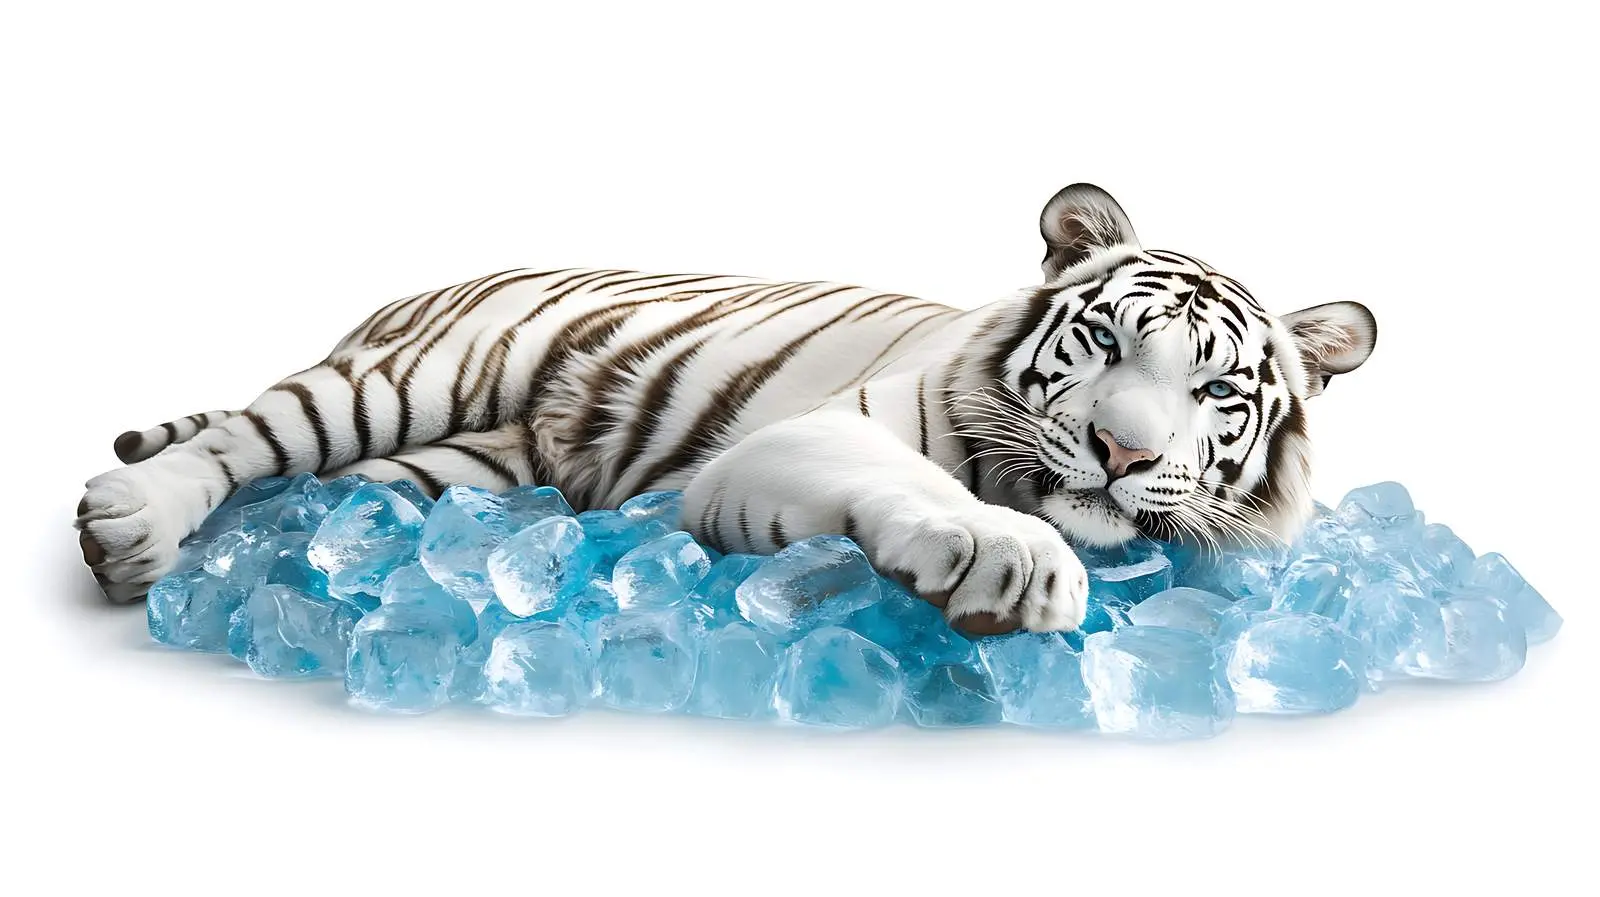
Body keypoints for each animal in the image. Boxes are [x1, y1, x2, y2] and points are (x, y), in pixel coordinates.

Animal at [75, 184, 1377, 634]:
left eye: (1216, 390)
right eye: (1105, 342)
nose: (1118, 450)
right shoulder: (806, 436)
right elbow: (922, 488)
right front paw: (1004, 558)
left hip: (446, 469)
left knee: (316, 496)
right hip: (406, 377)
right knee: (243, 439)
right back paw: (128, 524)